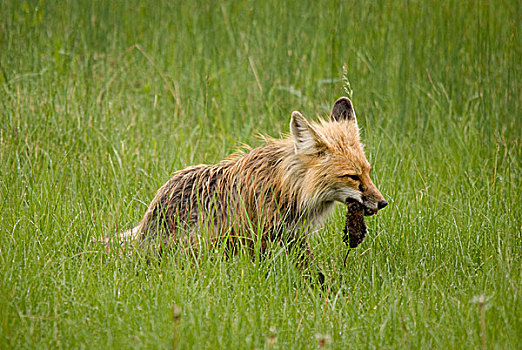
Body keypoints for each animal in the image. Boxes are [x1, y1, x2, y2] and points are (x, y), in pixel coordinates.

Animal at [120, 97, 384, 280]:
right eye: (352, 177)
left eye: (368, 172)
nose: (383, 203)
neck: (285, 187)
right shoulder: (259, 239)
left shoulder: (294, 236)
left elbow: (315, 275)